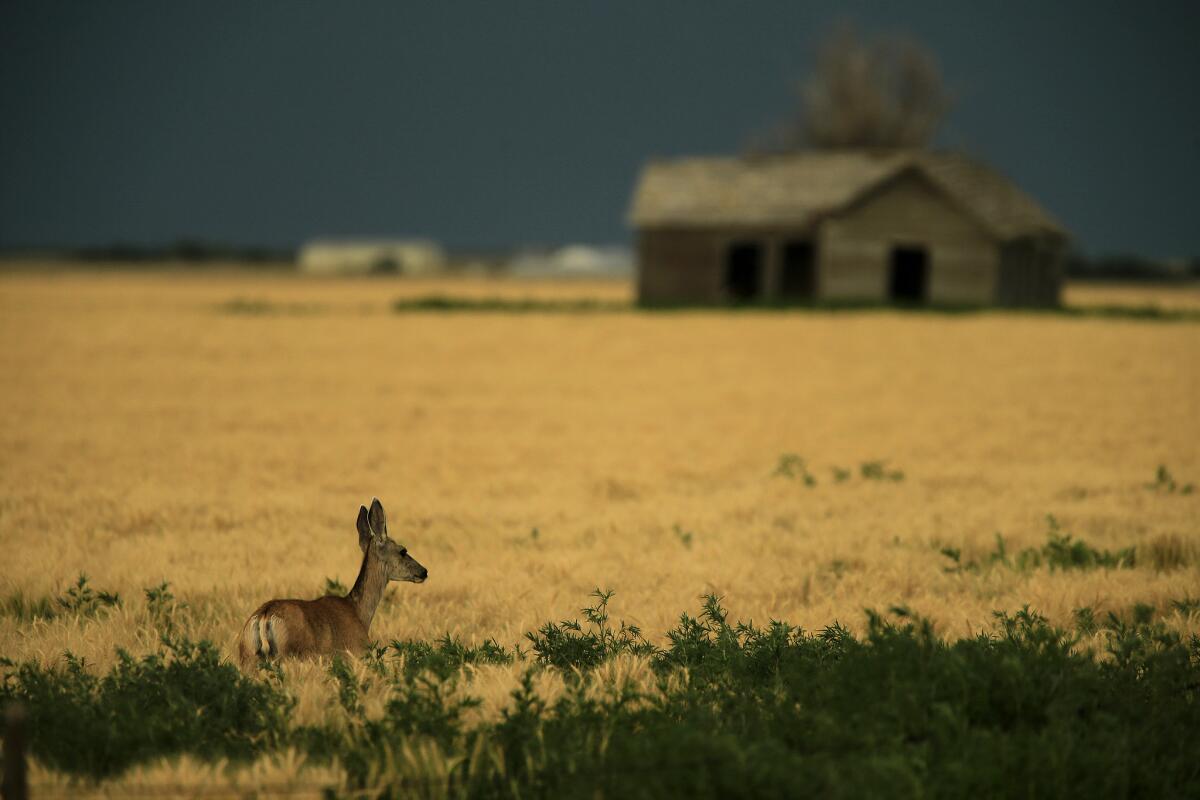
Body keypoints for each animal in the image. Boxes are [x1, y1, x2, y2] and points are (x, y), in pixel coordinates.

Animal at [235, 496, 427, 671]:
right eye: (403, 551)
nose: (424, 571)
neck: (359, 612)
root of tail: (264, 616)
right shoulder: (355, 653)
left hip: (247, 658)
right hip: (291, 658)